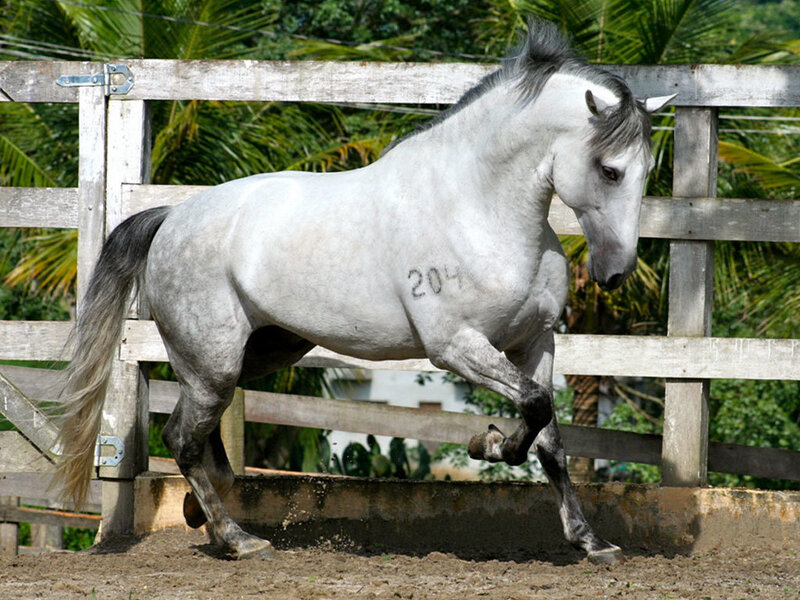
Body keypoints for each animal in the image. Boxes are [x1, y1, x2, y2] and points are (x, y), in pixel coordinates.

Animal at [55, 21, 675, 563]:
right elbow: (533, 410)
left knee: (193, 435)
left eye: (648, 170)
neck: (478, 209)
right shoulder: (457, 347)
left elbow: (550, 436)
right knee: (183, 438)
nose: (615, 273)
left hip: (255, 355)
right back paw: (239, 540)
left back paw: (201, 519)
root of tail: (171, 217)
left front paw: (591, 543)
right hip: (214, 360)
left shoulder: (536, 343)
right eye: (610, 170)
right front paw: (489, 444)